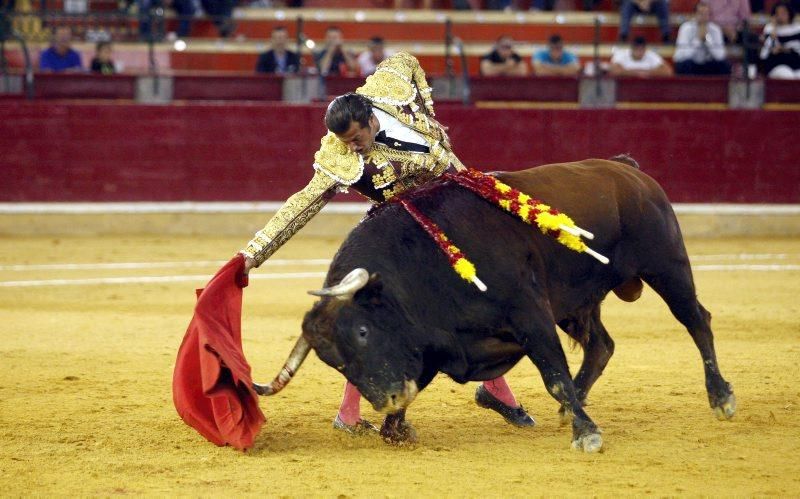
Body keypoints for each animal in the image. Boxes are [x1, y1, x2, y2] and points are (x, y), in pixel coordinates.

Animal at [253, 157, 736, 454]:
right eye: (333, 363)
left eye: (363, 331)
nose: (387, 399)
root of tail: (626, 169)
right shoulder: (435, 344)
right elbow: (418, 387)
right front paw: (396, 428)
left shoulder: (530, 314)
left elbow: (554, 374)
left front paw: (587, 434)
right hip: (578, 301)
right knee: (602, 345)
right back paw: (572, 408)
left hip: (667, 265)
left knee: (697, 321)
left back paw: (721, 397)